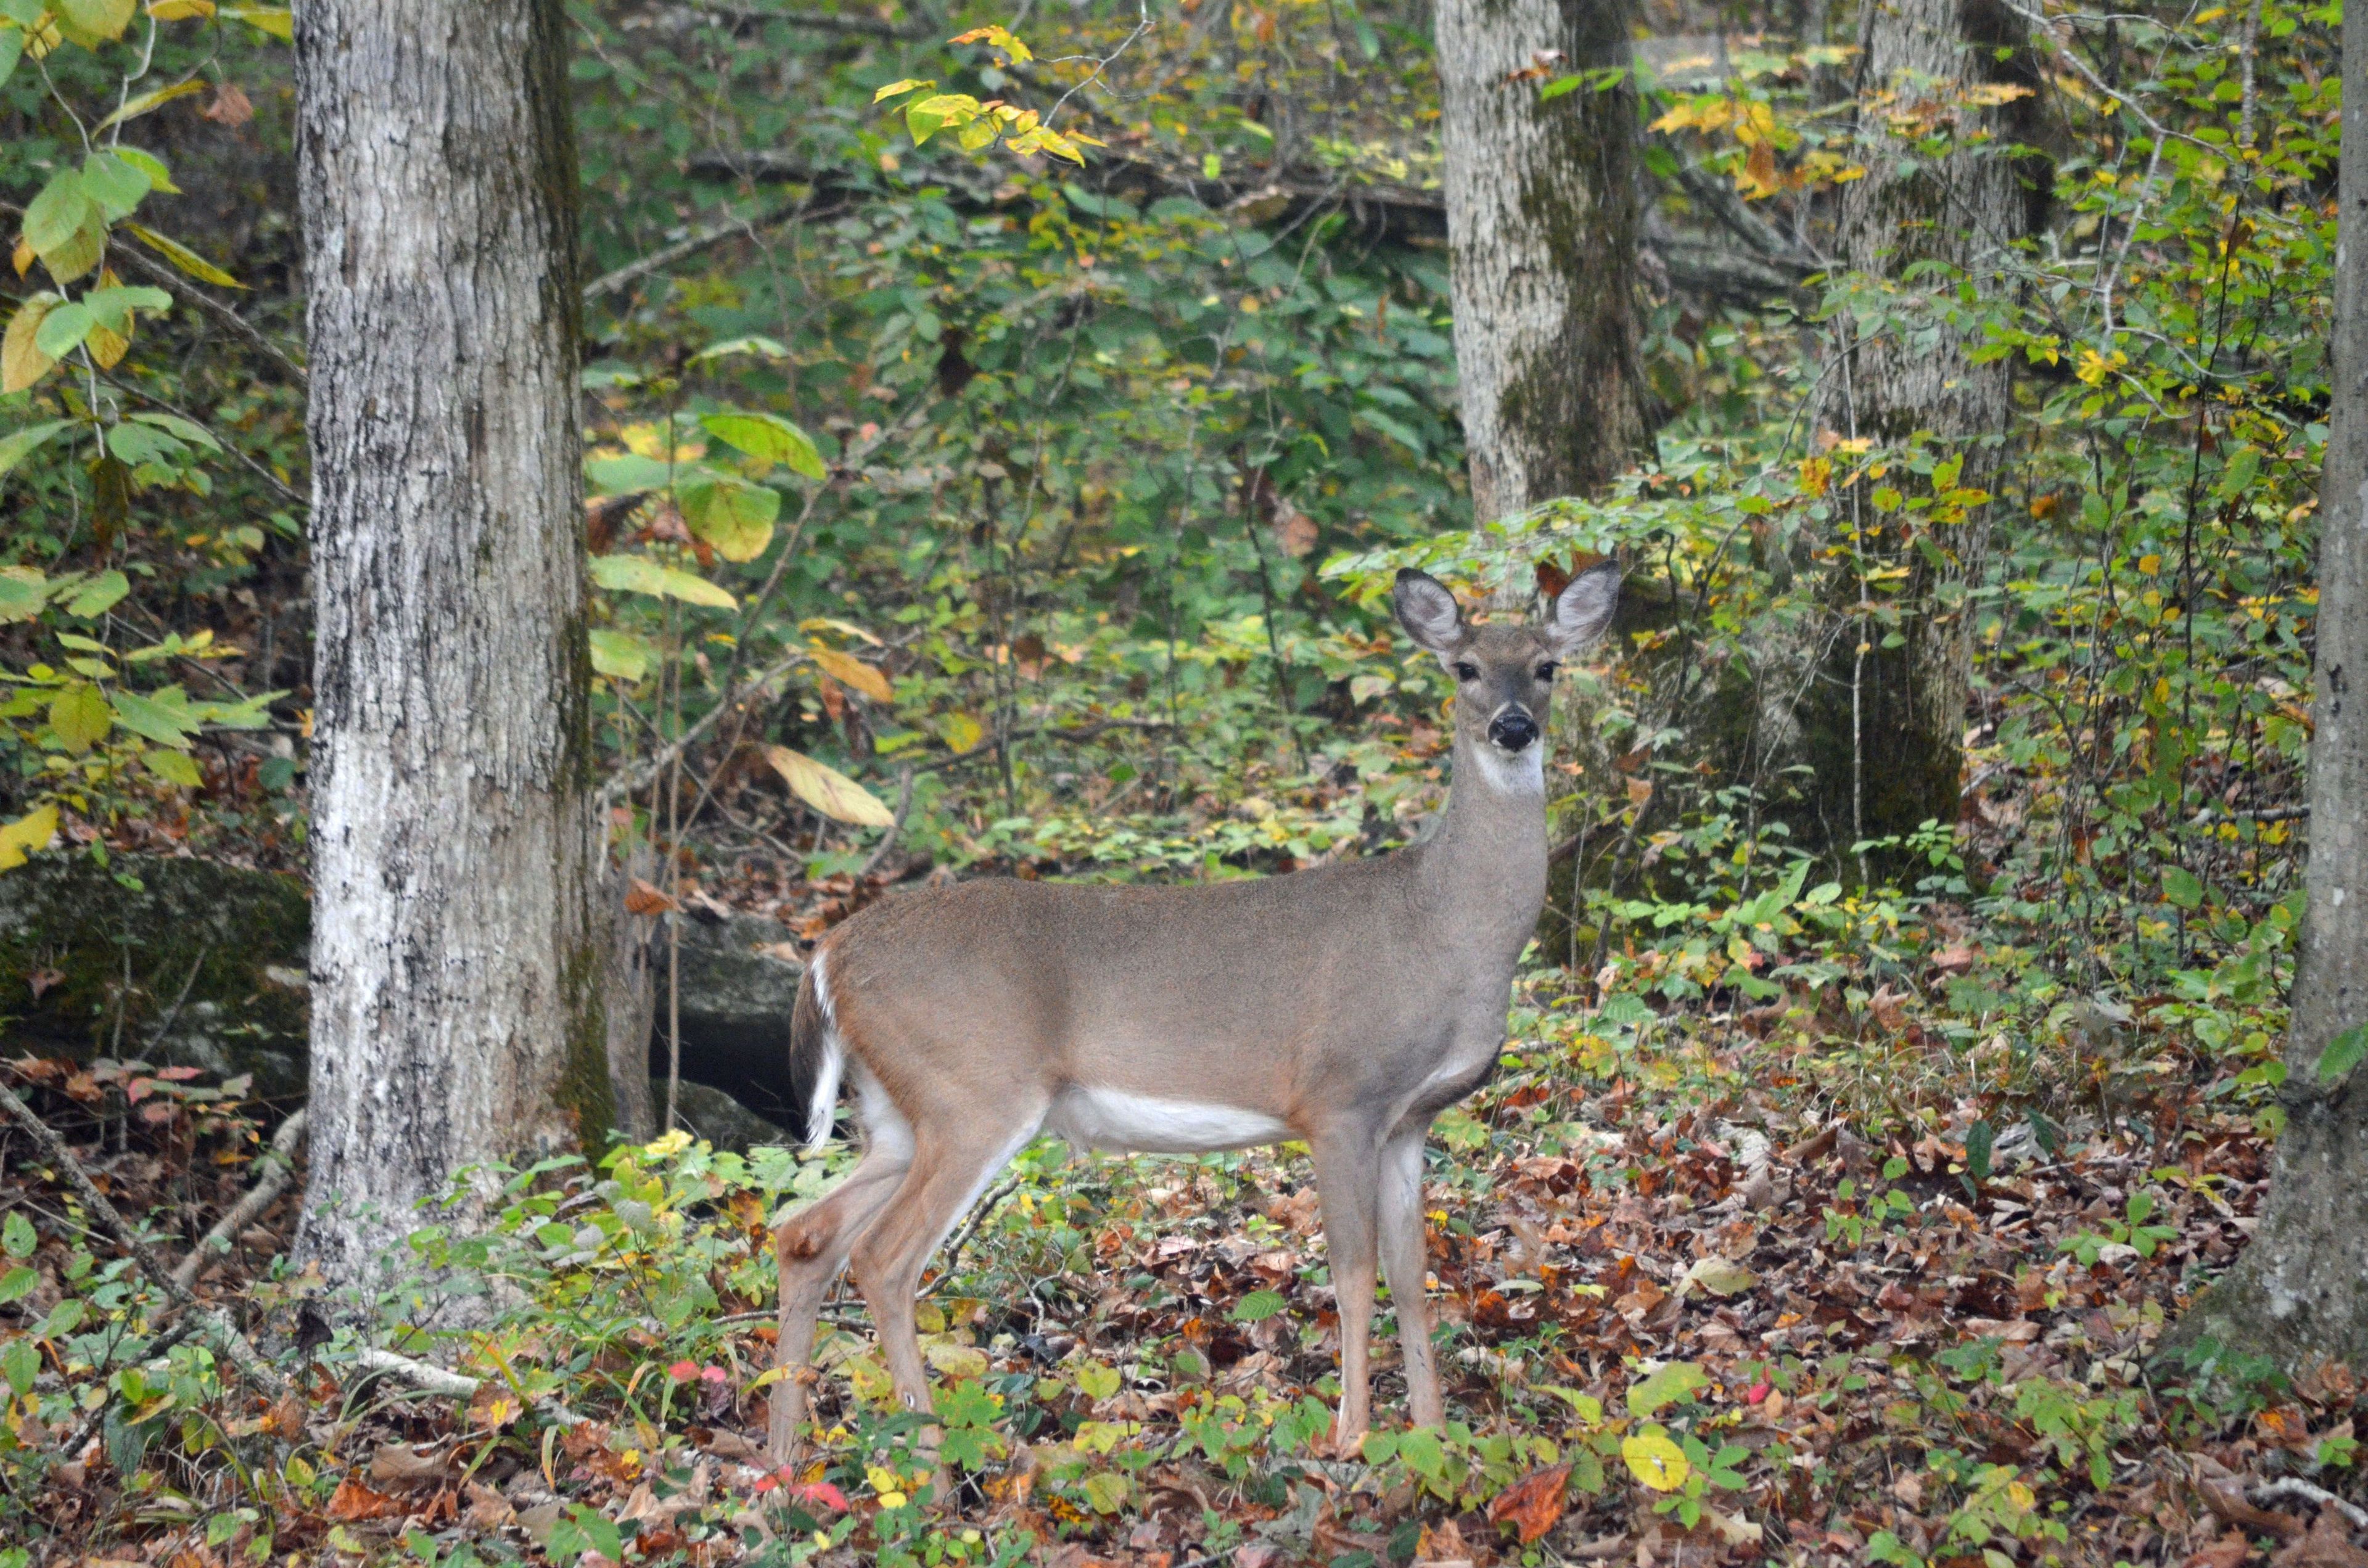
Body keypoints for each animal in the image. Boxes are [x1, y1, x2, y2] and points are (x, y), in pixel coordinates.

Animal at [767, 561, 1619, 1478]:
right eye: (1465, 667)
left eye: (1547, 666)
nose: (1513, 726)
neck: (1444, 927)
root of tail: (828, 955)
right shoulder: (1338, 1097)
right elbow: (1354, 1274)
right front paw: (1352, 1437)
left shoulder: (1409, 1119)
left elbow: (1411, 1274)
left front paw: (1433, 1436)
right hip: (972, 1090)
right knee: (883, 1258)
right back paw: (931, 1460)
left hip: (899, 1110)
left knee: (804, 1233)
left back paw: (780, 1459)